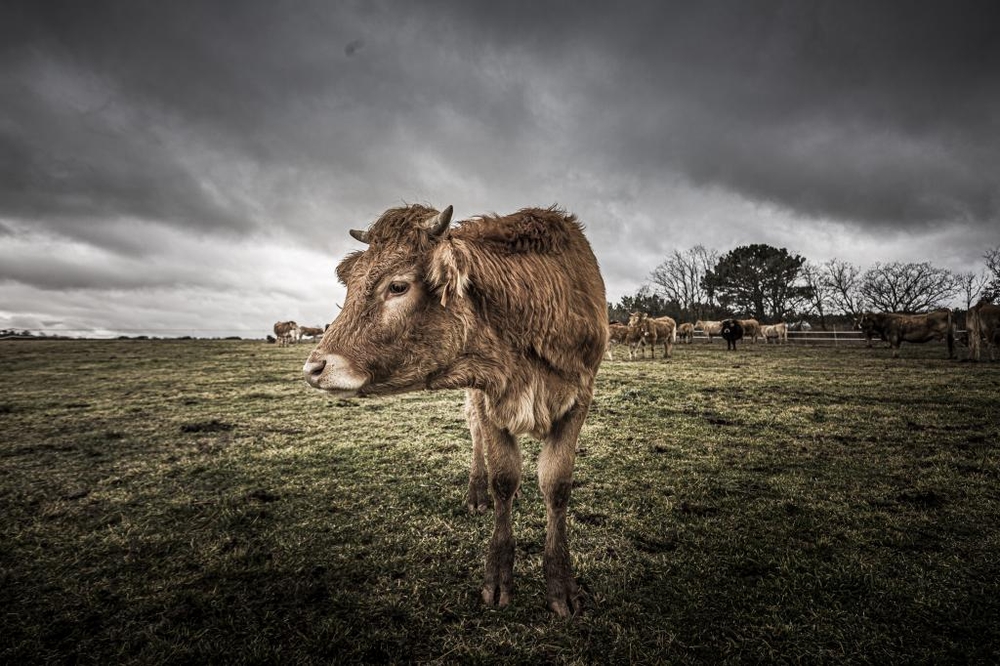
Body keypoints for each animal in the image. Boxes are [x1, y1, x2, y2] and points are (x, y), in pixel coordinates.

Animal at [302, 201, 608, 612]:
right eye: (350, 284)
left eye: (398, 286)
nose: (314, 367)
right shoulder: (490, 396)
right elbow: (503, 478)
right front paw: (499, 576)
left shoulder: (578, 400)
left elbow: (556, 486)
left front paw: (562, 586)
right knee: (477, 439)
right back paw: (476, 494)